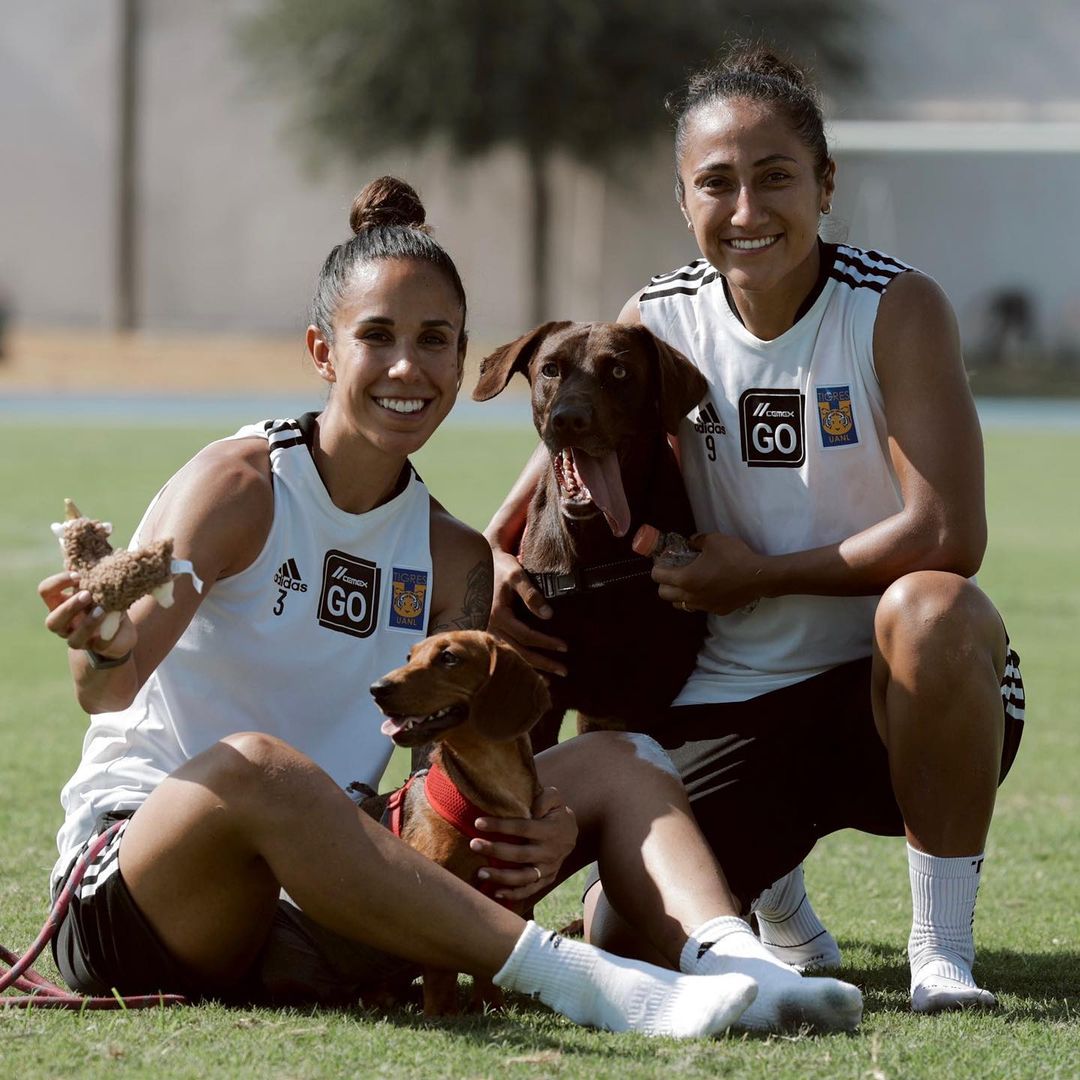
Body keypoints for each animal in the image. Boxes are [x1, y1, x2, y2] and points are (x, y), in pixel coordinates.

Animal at [366, 629, 551, 1015]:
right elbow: (440, 970)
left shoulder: (505, 893)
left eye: (448, 658)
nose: (376, 688)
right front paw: (441, 1012)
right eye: (409, 656)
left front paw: (490, 1006)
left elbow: (491, 964)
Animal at [472, 321, 709, 751]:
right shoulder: (538, 699)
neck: (595, 550)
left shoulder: (640, 703)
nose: (568, 419)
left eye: (618, 371)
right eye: (550, 370)